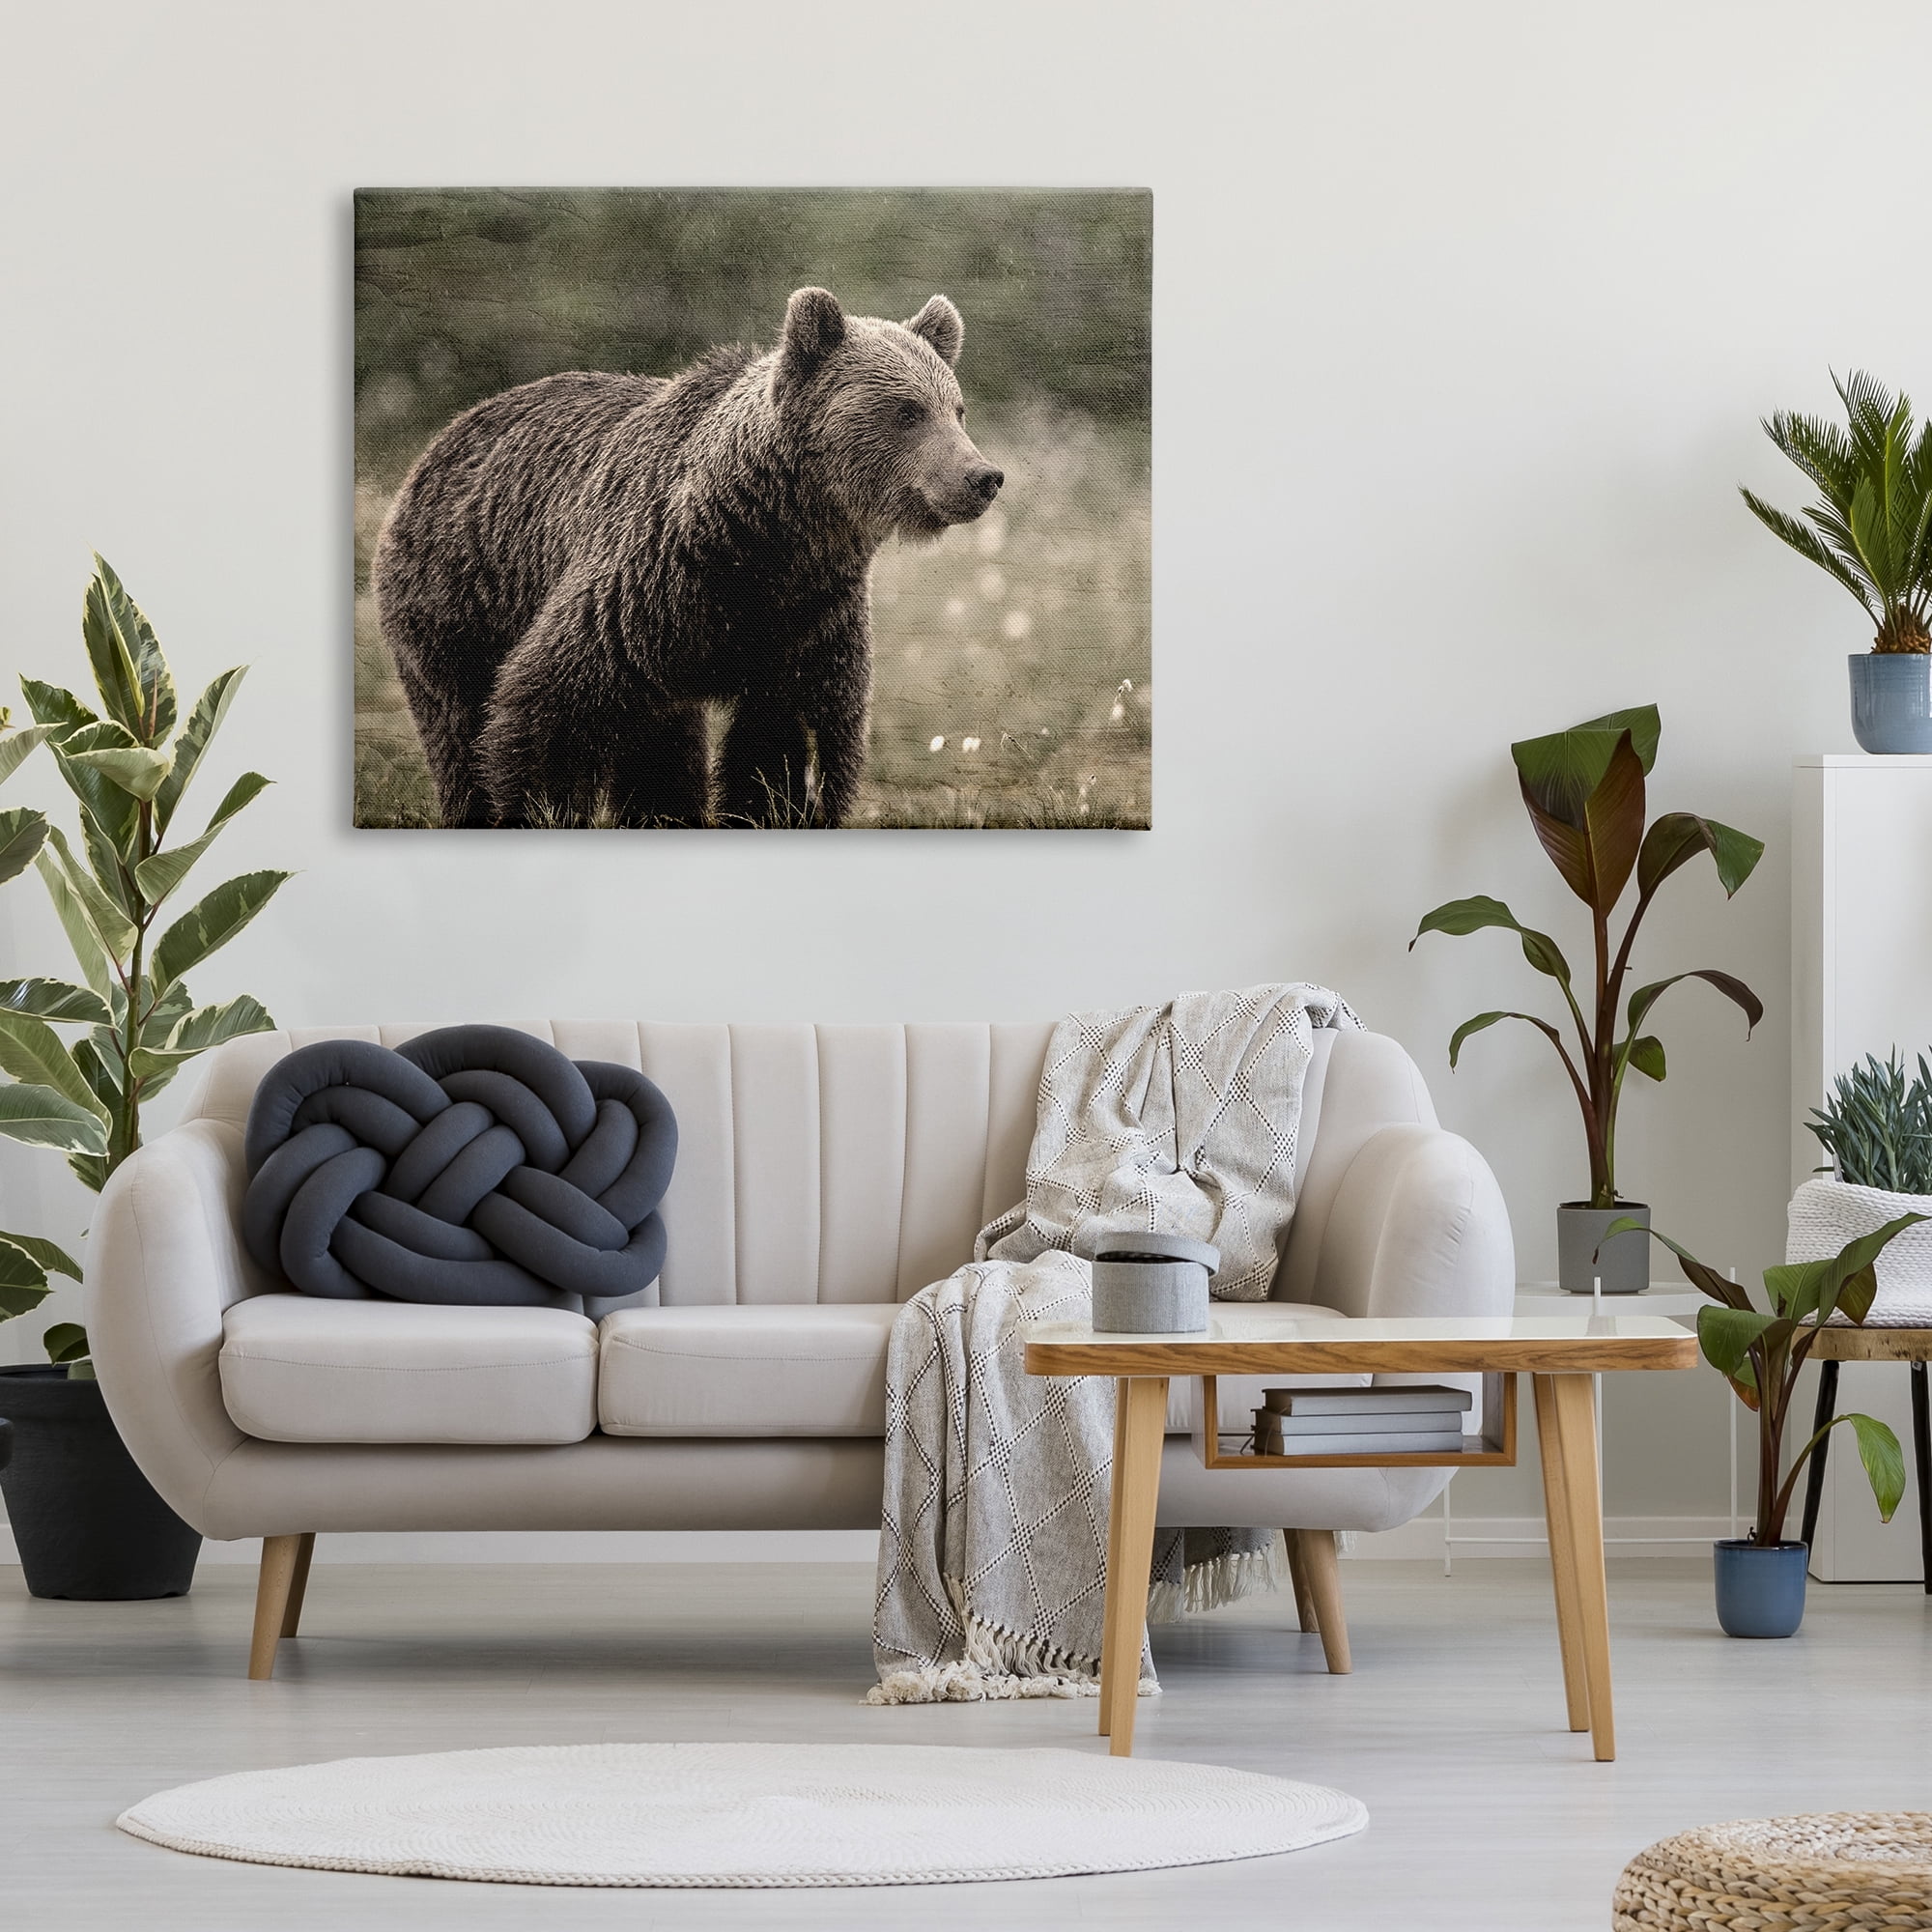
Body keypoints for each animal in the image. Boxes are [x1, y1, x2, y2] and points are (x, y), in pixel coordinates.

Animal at [373, 288, 1004, 829]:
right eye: (907, 410)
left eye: (957, 408)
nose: (982, 477)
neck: (770, 536)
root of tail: (442, 438)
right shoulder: (648, 584)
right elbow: (550, 706)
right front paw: (539, 807)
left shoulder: (809, 618)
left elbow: (787, 741)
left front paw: (778, 807)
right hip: (459, 600)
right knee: (460, 725)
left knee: (660, 751)